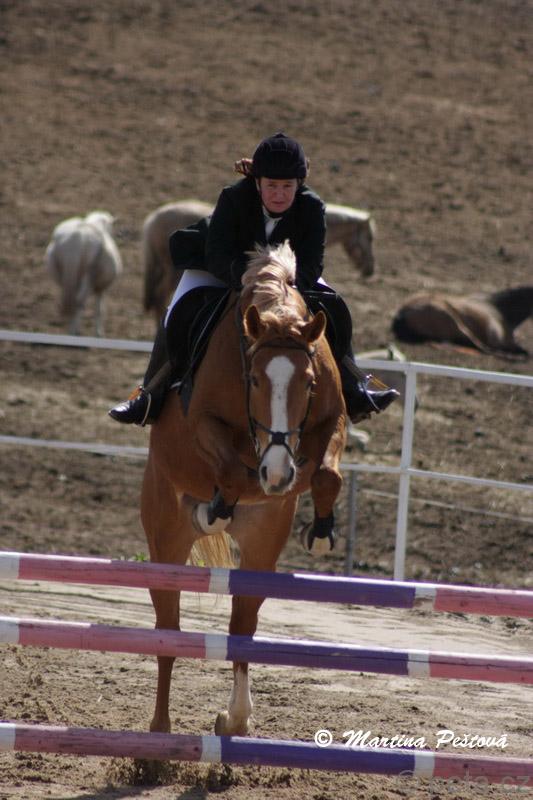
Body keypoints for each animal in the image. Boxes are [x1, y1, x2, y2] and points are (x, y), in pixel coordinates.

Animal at [141, 241, 346, 736]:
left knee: (242, 625)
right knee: (168, 629)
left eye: (308, 381)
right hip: (165, 537)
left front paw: (322, 532)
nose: (276, 474)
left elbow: (327, 473)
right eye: (253, 380)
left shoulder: (332, 419)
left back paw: (234, 719)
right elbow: (231, 469)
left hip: (262, 542)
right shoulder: (202, 421)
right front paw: (215, 507)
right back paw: (159, 732)